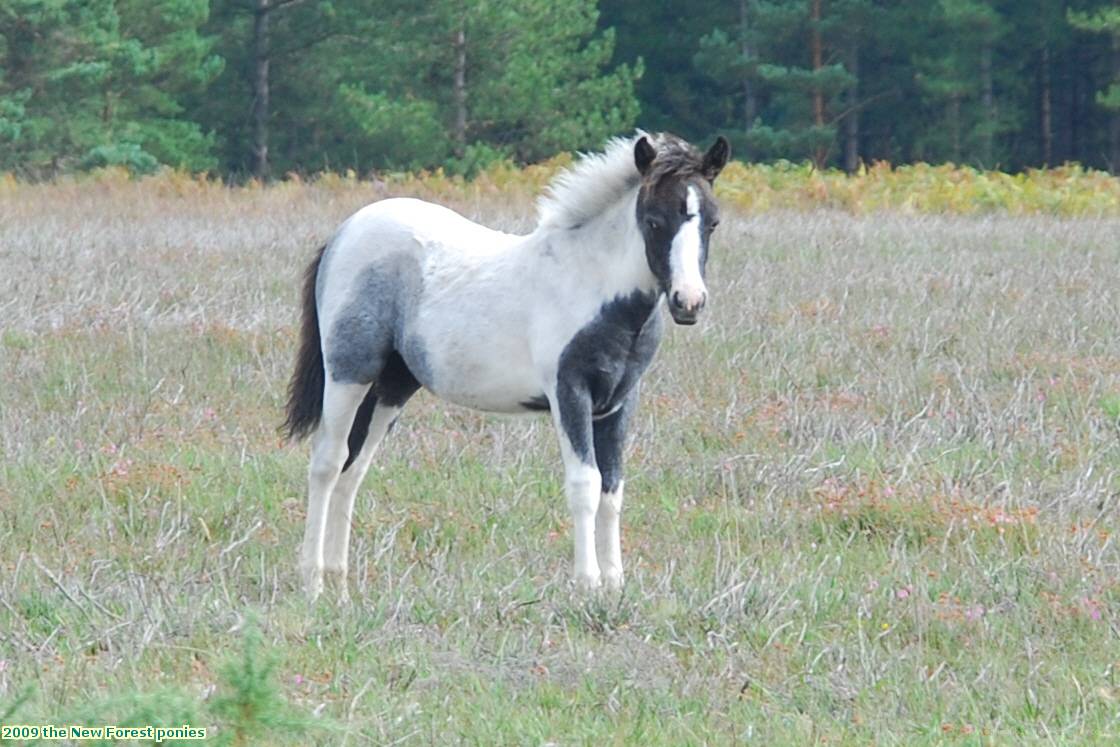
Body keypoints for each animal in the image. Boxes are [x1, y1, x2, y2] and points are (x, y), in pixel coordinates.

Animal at [284, 132, 730, 600]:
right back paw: (313, 584)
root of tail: (343, 233)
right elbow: (585, 485)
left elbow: (612, 490)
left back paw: (340, 586)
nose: (688, 302)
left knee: (354, 468)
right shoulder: (569, 392)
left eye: (712, 223)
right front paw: (587, 585)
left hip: (393, 384)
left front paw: (615, 586)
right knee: (329, 461)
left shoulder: (619, 402)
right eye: (654, 220)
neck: (593, 286)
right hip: (349, 371)